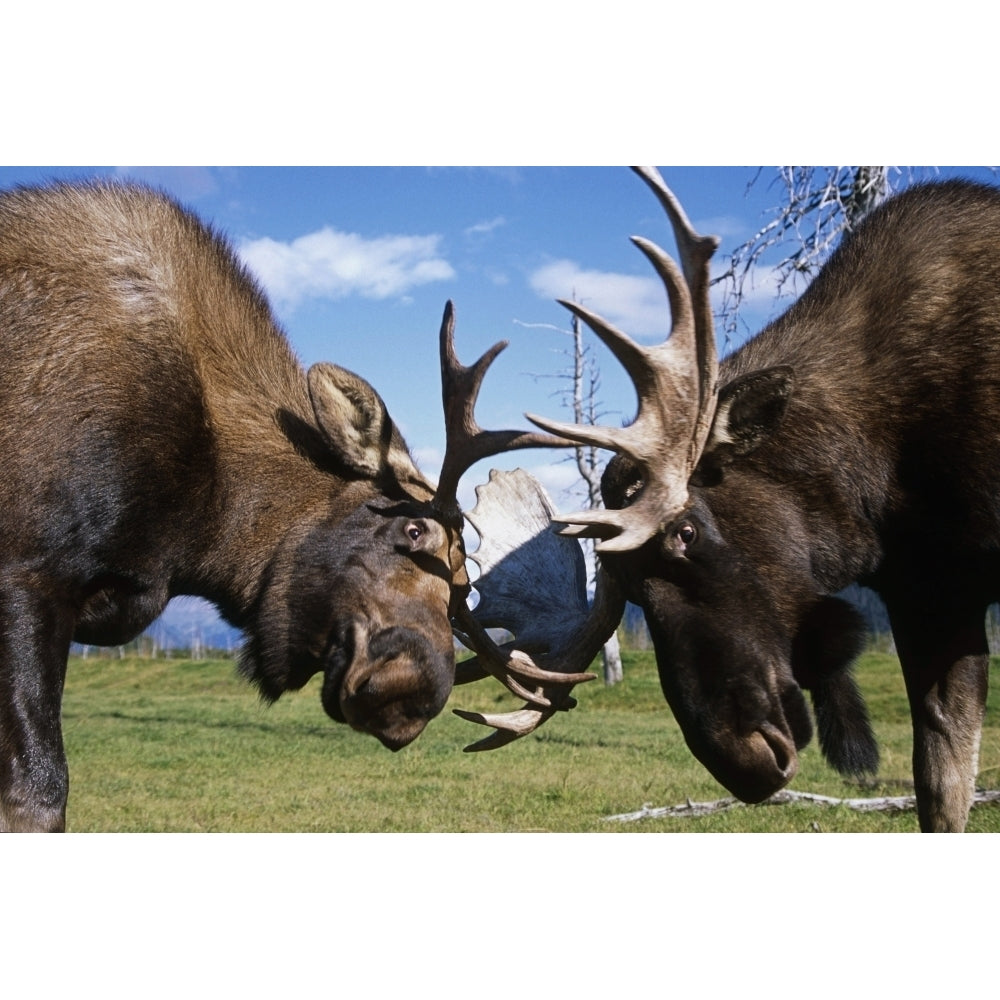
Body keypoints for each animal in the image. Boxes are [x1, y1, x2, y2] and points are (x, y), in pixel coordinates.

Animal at [0, 178, 584, 828]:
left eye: (461, 592)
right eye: (413, 531)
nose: (411, 696)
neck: (196, 528)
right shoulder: (28, 572)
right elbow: (38, 791)